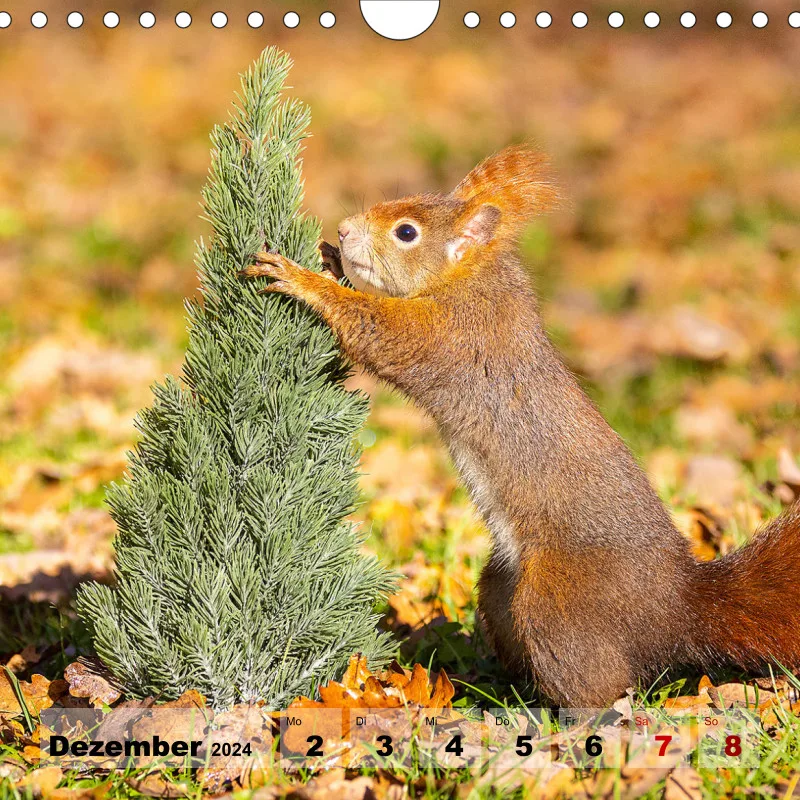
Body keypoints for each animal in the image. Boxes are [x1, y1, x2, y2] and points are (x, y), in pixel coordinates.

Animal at [241, 144, 800, 708]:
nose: (344, 229)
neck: (471, 276)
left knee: (602, 686)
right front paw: (328, 257)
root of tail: (676, 609)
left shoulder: (451, 333)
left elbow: (376, 328)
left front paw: (301, 277)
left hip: (554, 598)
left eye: (406, 232)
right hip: (497, 587)